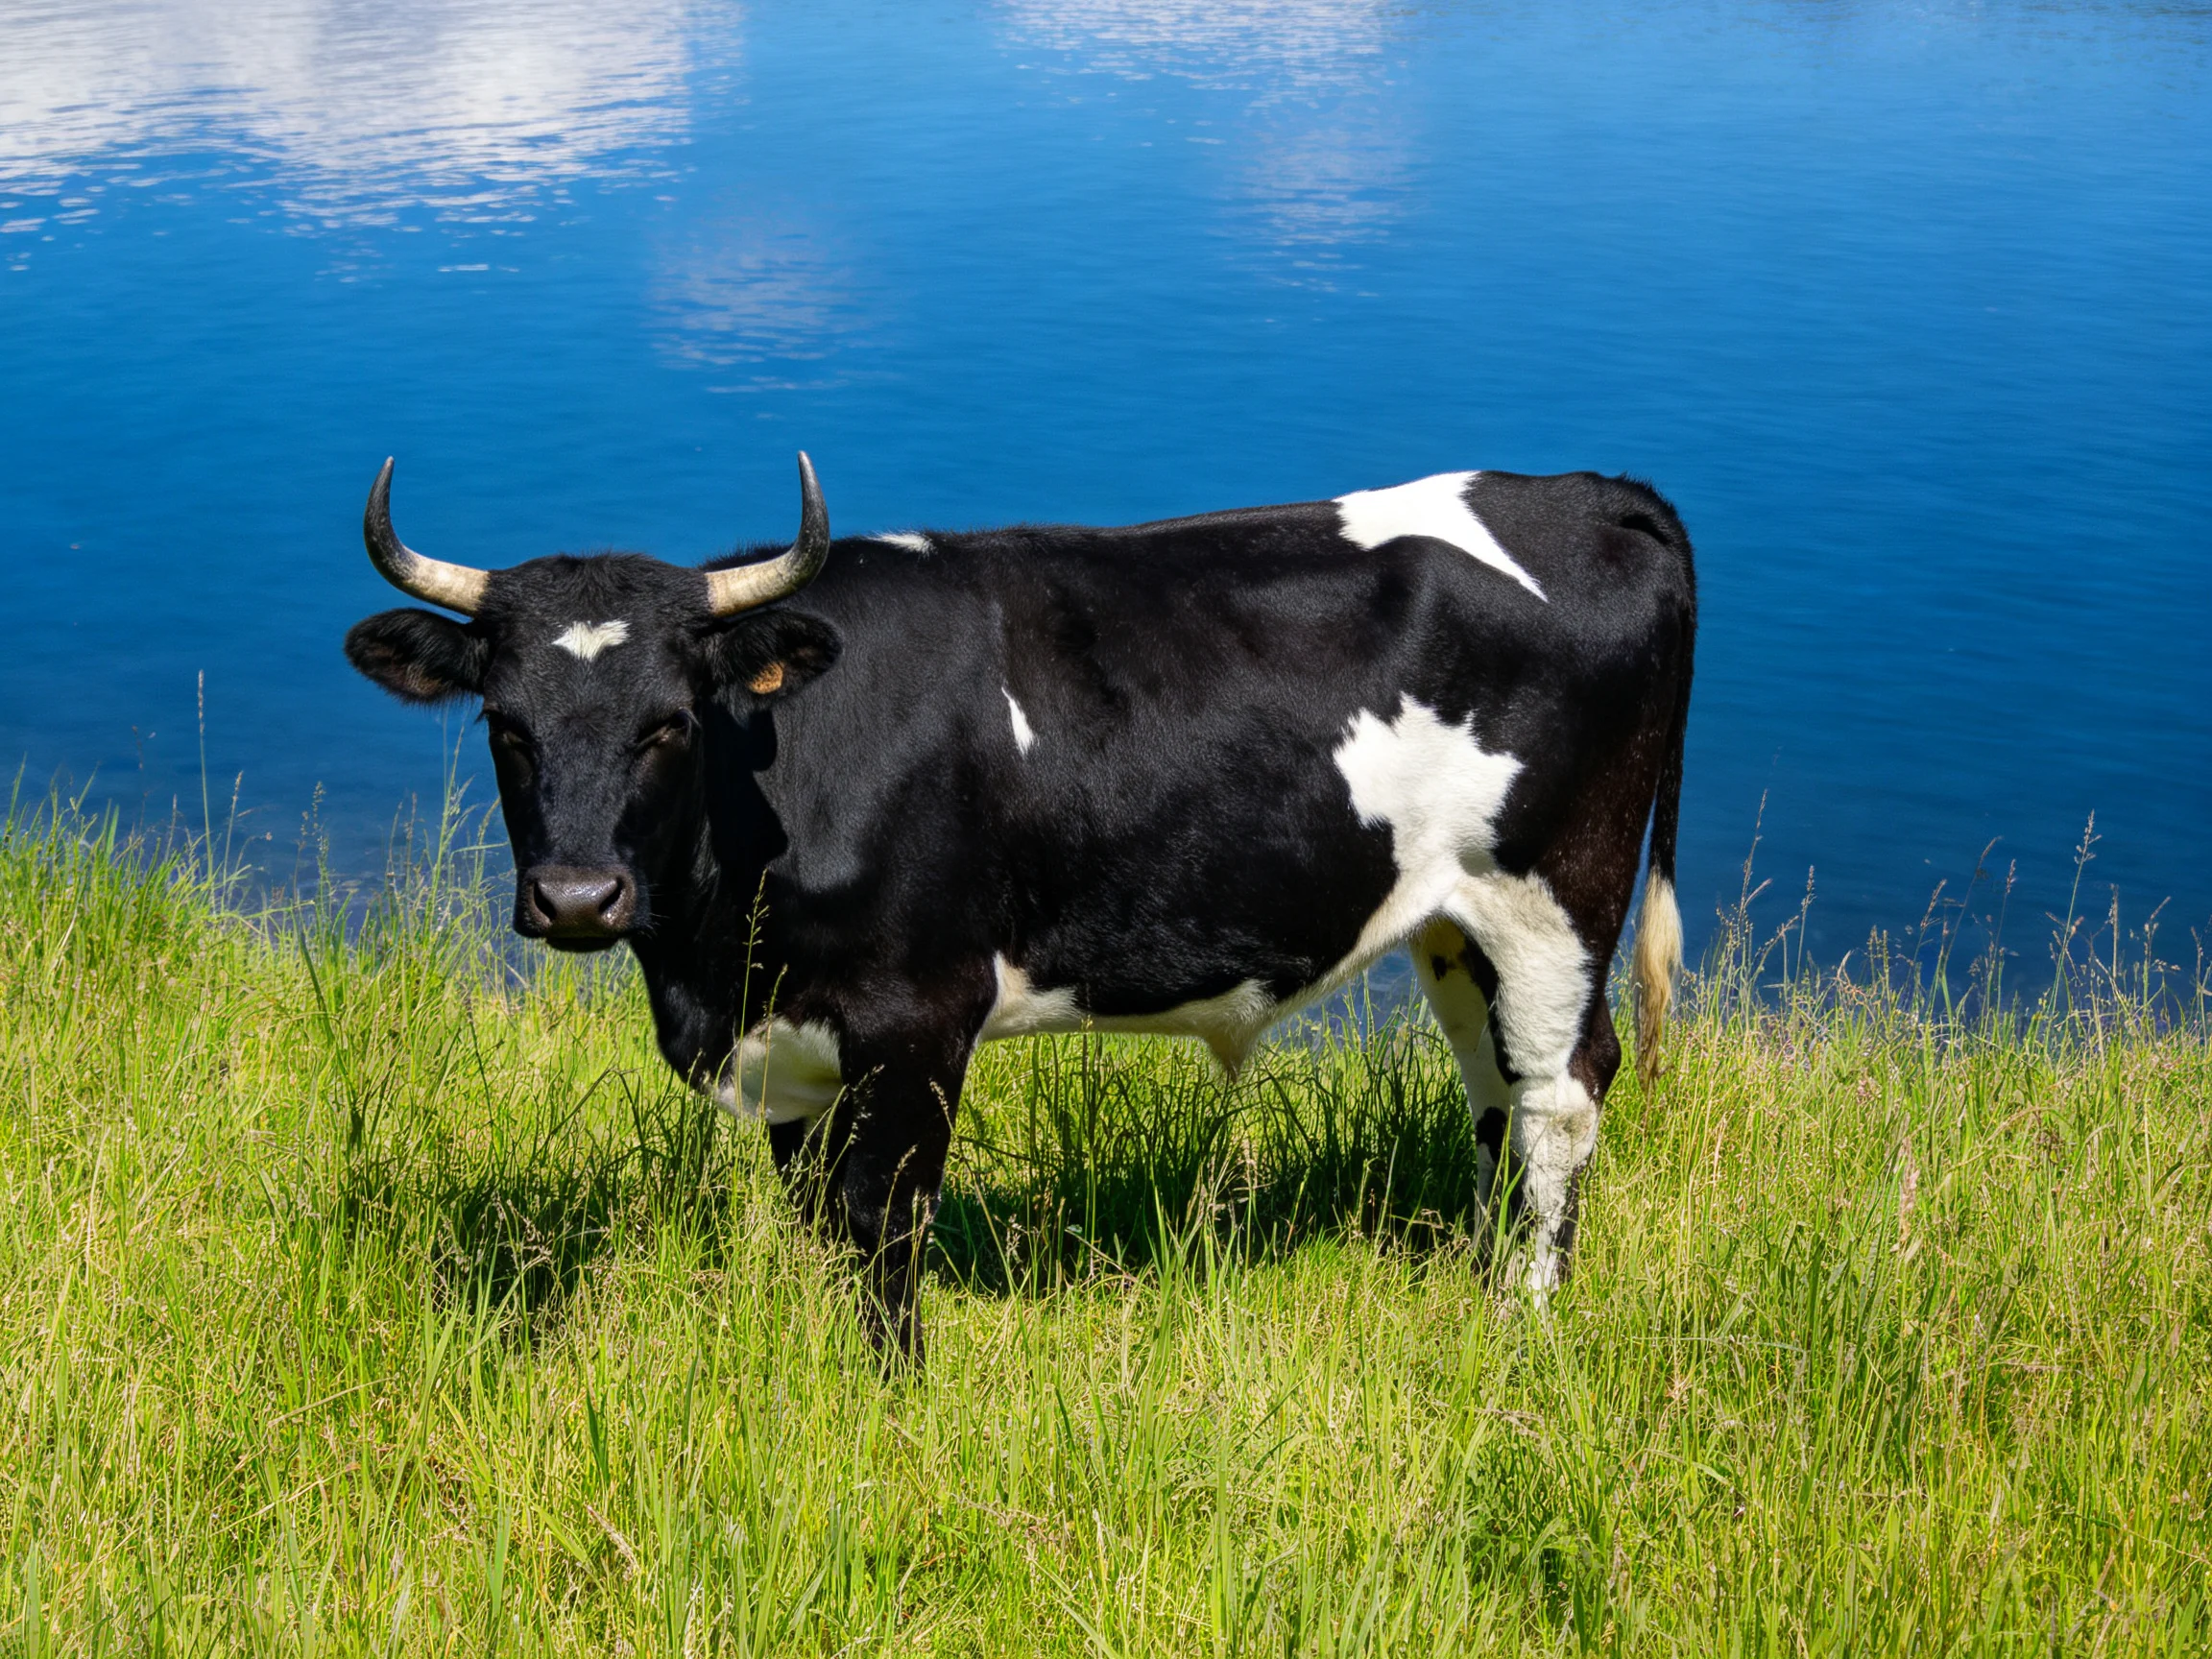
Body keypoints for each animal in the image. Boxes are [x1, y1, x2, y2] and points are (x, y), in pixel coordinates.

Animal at [344, 455, 1695, 1363]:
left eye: (669, 722)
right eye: (504, 726)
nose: (578, 896)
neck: (716, 967)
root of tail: (1588, 490)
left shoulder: (918, 1014)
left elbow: (883, 1217)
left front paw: (887, 1388)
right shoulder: (796, 1038)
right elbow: (814, 1216)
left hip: (1554, 890)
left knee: (1564, 1090)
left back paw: (1528, 1315)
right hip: (1452, 921)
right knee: (1495, 1090)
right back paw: (1480, 1280)